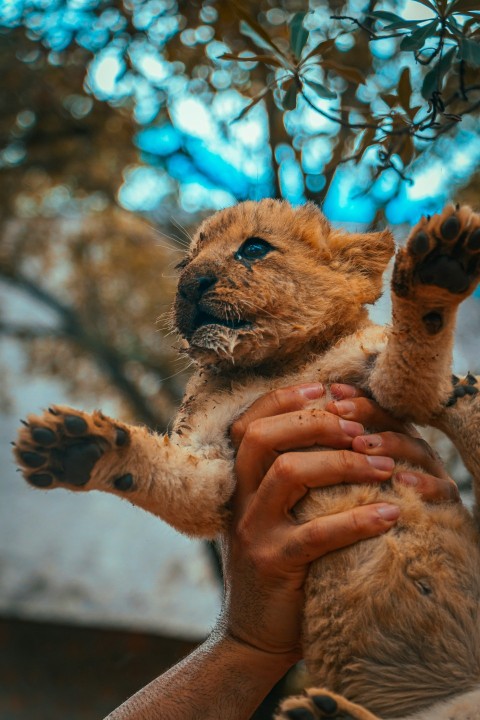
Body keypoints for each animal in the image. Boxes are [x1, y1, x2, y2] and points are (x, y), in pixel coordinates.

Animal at [14, 199, 480, 719]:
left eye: (254, 248)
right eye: (184, 262)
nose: (190, 284)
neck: (277, 364)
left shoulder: (387, 390)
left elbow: (415, 359)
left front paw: (440, 265)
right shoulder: (215, 468)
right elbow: (173, 477)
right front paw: (73, 447)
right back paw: (321, 711)